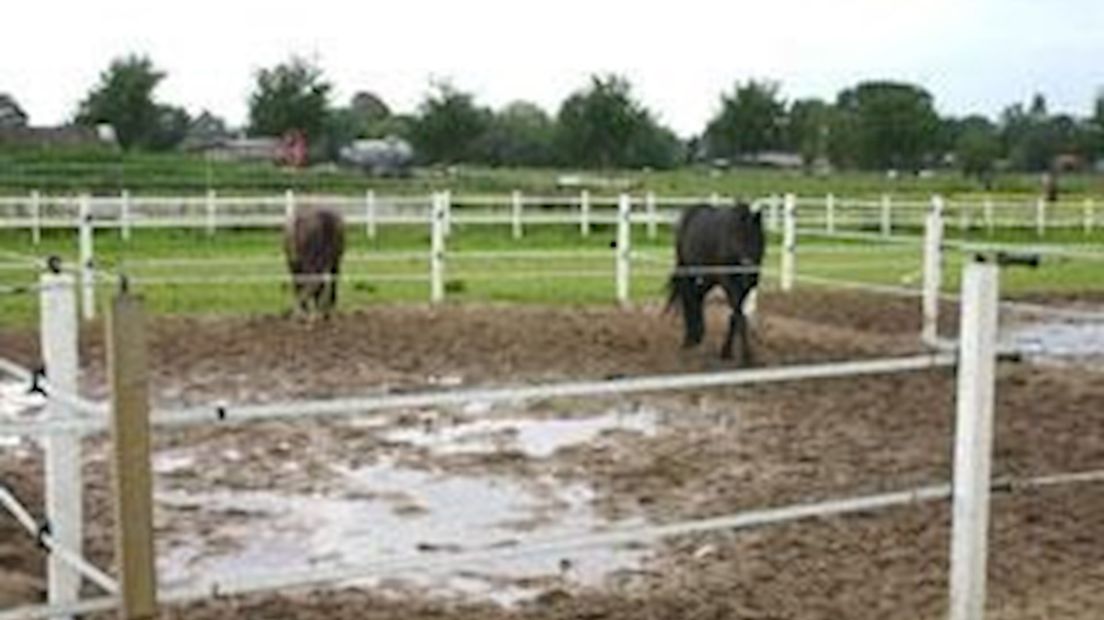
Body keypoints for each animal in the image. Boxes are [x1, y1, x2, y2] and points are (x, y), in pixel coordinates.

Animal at [666, 202, 763, 361]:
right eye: (737, 237)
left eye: (756, 237)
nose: (747, 267)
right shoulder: (729, 285)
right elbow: (740, 317)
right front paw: (747, 357)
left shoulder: (745, 288)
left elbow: (735, 316)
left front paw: (726, 352)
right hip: (688, 270)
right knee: (689, 298)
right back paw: (689, 340)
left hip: (709, 277)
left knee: (697, 297)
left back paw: (696, 336)